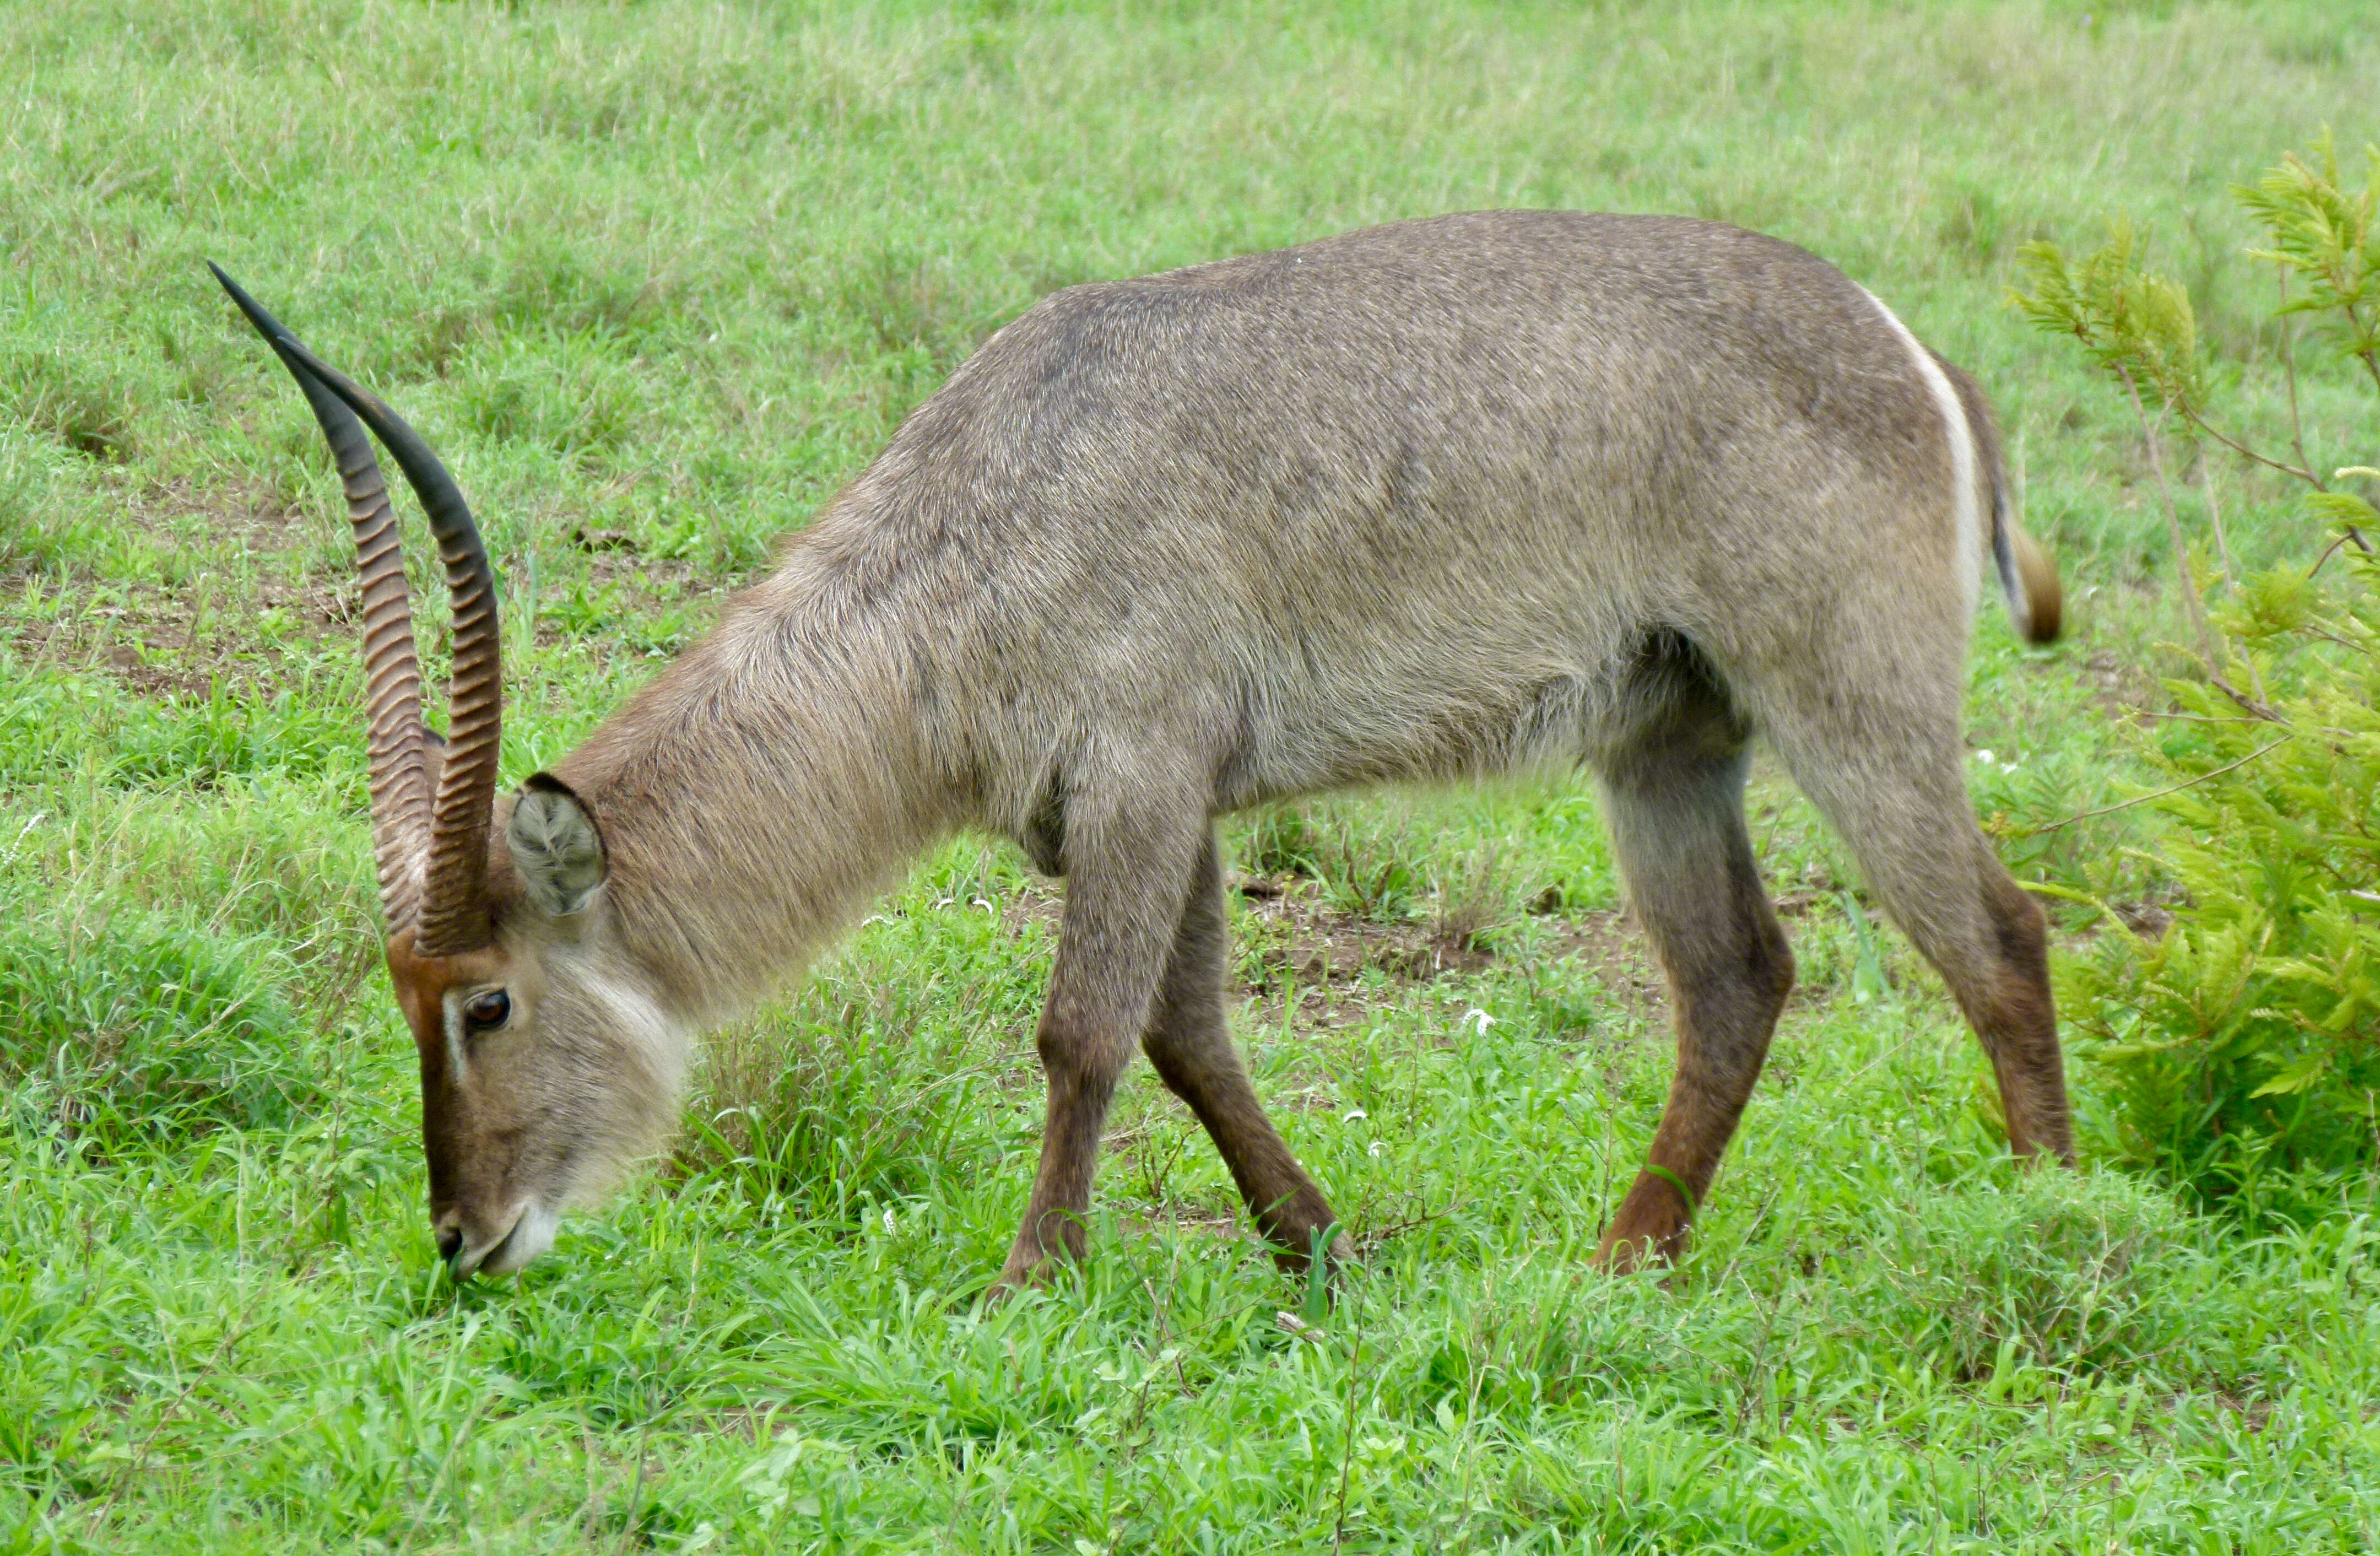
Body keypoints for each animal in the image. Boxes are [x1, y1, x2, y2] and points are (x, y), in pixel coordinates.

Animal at [204, 216, 2065, 1294]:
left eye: (486, 1001)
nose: (464, 1239)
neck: (978, 517)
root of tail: (1911, 346)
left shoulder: (1145, 772)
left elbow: (1088, 1031)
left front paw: (1034, 1278)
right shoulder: (1141, 806)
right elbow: (1189, 1032)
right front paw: (1315, 1242)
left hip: (1850, 704)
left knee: (1996, 935)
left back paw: (2054, 1224)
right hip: (1670, 741)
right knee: (1740, 975)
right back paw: (1621, 1257)